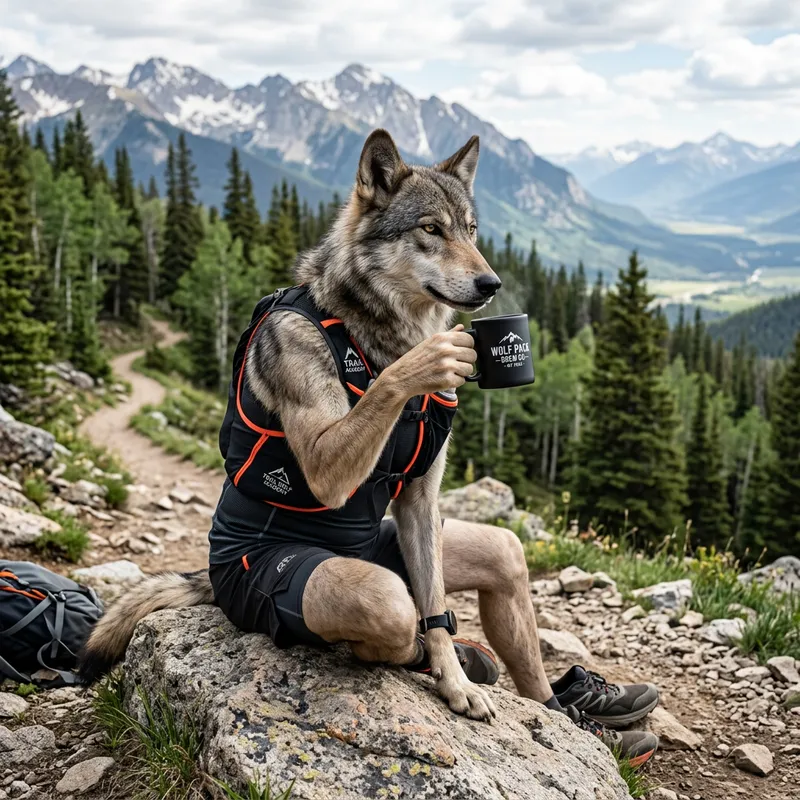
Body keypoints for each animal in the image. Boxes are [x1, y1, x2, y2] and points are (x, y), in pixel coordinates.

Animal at [79, 130, 659, 758]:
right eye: (431, 229)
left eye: (471, 230)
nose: (492, 285)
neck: (378, 329)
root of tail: (213, 575)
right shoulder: (299, 354)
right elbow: (334, 463)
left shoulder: (422, 501)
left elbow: (435, 604)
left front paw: (455, 683)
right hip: (299, 587)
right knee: (390, 611)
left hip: (445, 546)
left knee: (490, 565)